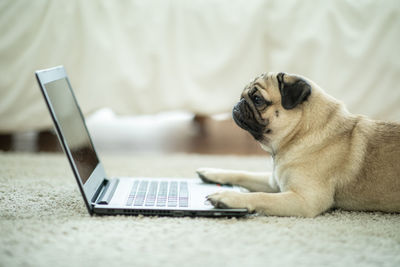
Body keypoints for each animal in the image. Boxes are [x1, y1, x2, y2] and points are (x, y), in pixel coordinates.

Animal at [197, 73, 400, 218]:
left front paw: (228, 197)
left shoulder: (304, 200)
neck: (300, 133)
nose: (238, 103)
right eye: (243, 94)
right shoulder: (274, 181)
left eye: (257, 99)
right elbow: (243, 173)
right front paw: (211, 172)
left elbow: (261, 196)